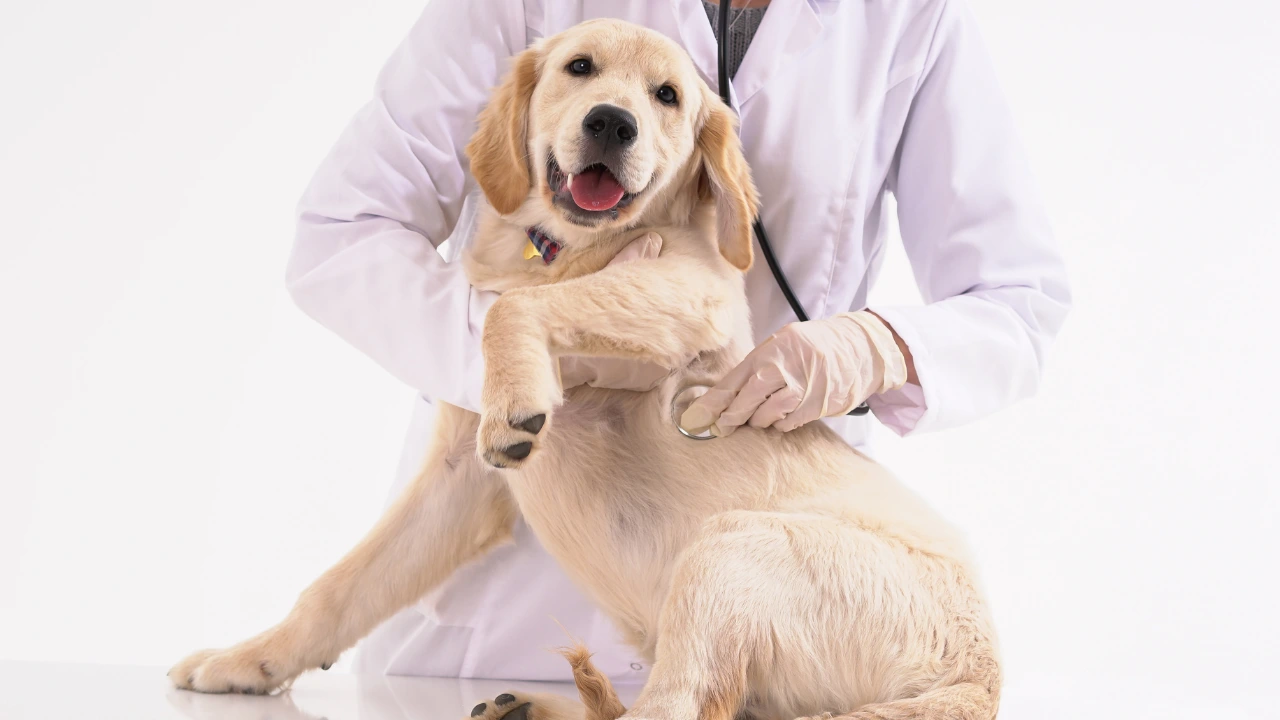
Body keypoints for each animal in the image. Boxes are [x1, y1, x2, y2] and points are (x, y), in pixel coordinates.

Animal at [167, 16, 998, 717]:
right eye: (579, 67)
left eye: (667, 96)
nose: (611, 122)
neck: (566, 249)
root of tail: (981, 674)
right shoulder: (459, 483)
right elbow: (340, 587)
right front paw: (249, 661)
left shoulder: (697, 289)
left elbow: (512, 309)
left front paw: (521, 387)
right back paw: (524, 705)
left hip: (729, 549)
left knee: (675, 706)